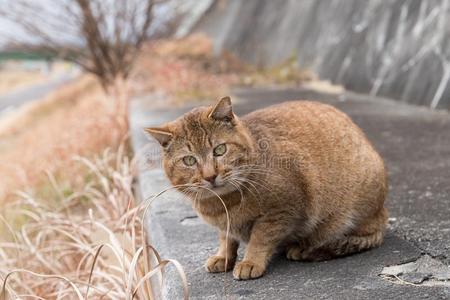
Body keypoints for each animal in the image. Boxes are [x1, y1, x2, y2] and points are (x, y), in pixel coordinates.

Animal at [146, 97, 388, 280]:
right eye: (189, 160)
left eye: (220, 150)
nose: (210, 176)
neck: (223, 204)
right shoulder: (226, 225)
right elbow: (226, 238)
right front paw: (223, 256)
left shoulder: (280, 211)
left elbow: (260, 238)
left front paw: (250, 261)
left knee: (363, 236)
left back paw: (307, 247)